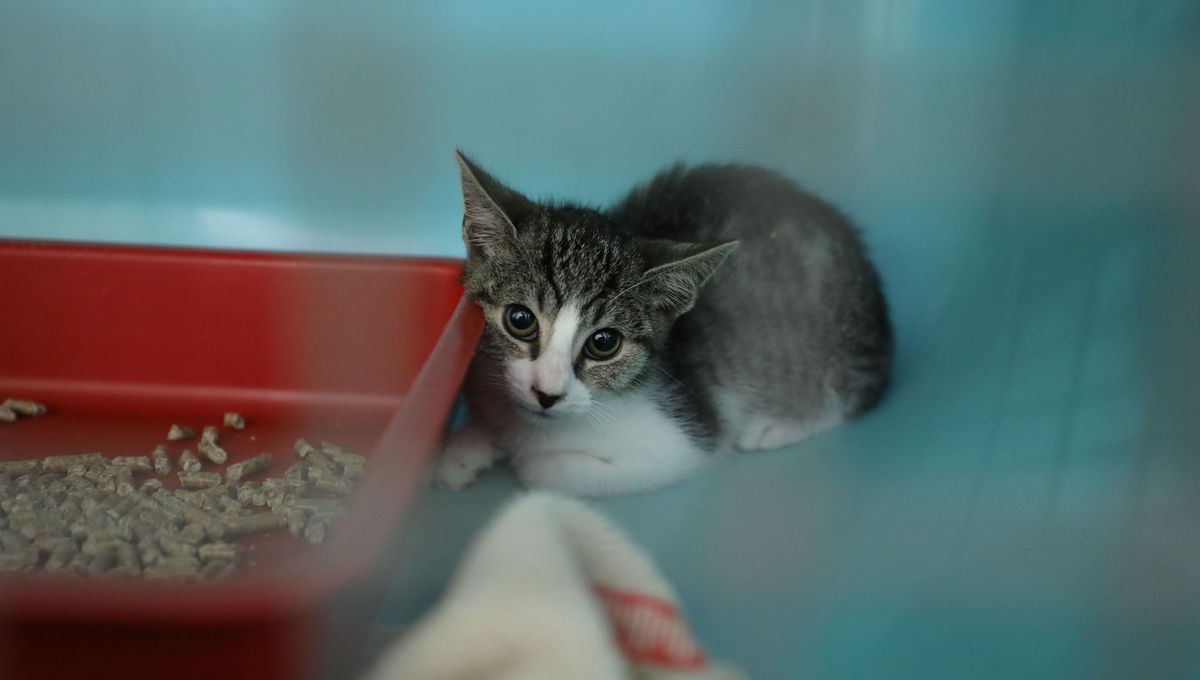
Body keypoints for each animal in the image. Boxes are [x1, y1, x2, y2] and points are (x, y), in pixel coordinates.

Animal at [434, 151, 892, 496]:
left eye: (604, 343)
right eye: (520, 319)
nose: (547, 394)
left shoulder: (682, 442)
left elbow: (546, 473)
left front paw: (515, 457)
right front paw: (467, 445)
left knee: (856, 393)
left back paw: (775, 427)